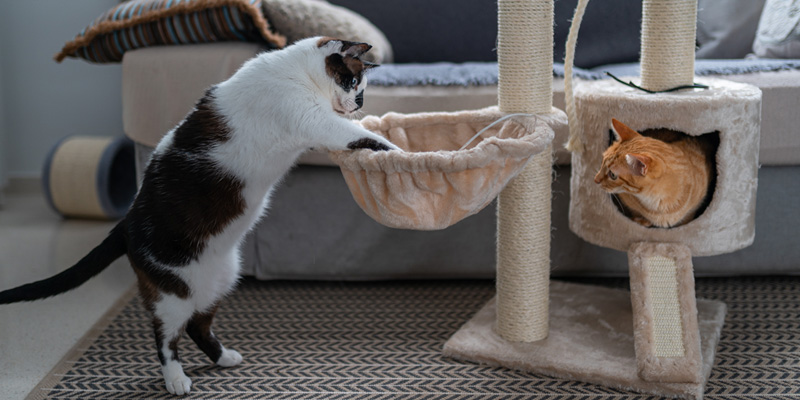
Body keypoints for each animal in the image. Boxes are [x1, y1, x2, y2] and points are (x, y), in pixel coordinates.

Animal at [0, 38, 398, 396]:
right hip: (172, 295)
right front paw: (401, 150)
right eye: (352, 82)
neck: (297, 72)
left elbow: (362, 135)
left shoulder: (319, 132)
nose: (359, 103)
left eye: (360, 89)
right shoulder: (319, 123)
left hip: (221, 279)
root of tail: (125, 223)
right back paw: (176, 381)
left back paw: (224, 359)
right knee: (165, 338)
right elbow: (368, 138)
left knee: (197, 327)